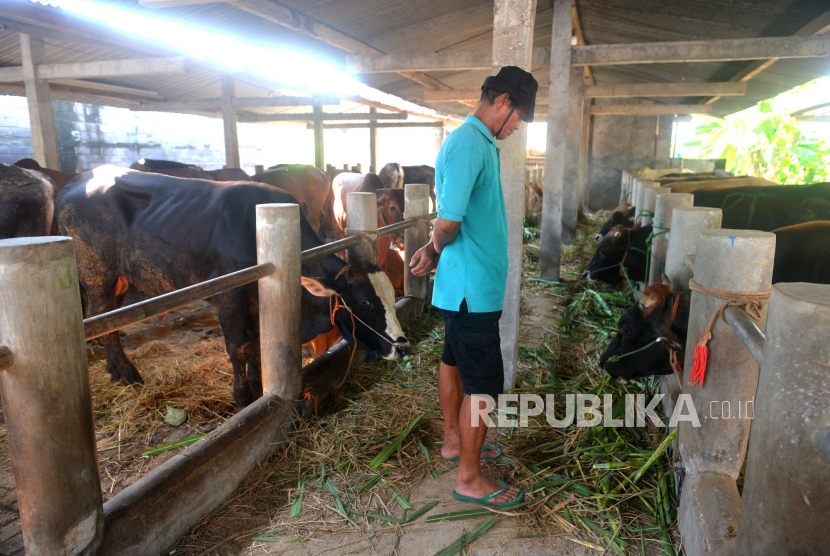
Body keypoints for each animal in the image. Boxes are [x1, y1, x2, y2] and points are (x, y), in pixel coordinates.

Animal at [55, 166, 412, 408]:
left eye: (391, 296)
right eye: (364, 302)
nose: (404, 346)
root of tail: (74, 181)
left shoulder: (256, 302)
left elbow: (256, 344)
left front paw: (257, 384)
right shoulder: (230, 297)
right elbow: (239, 348)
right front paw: (242, 397)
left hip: (117, 277)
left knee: (108, 319)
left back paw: (114, 369)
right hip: (97, 272)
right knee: (103, 316)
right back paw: (129, 375)